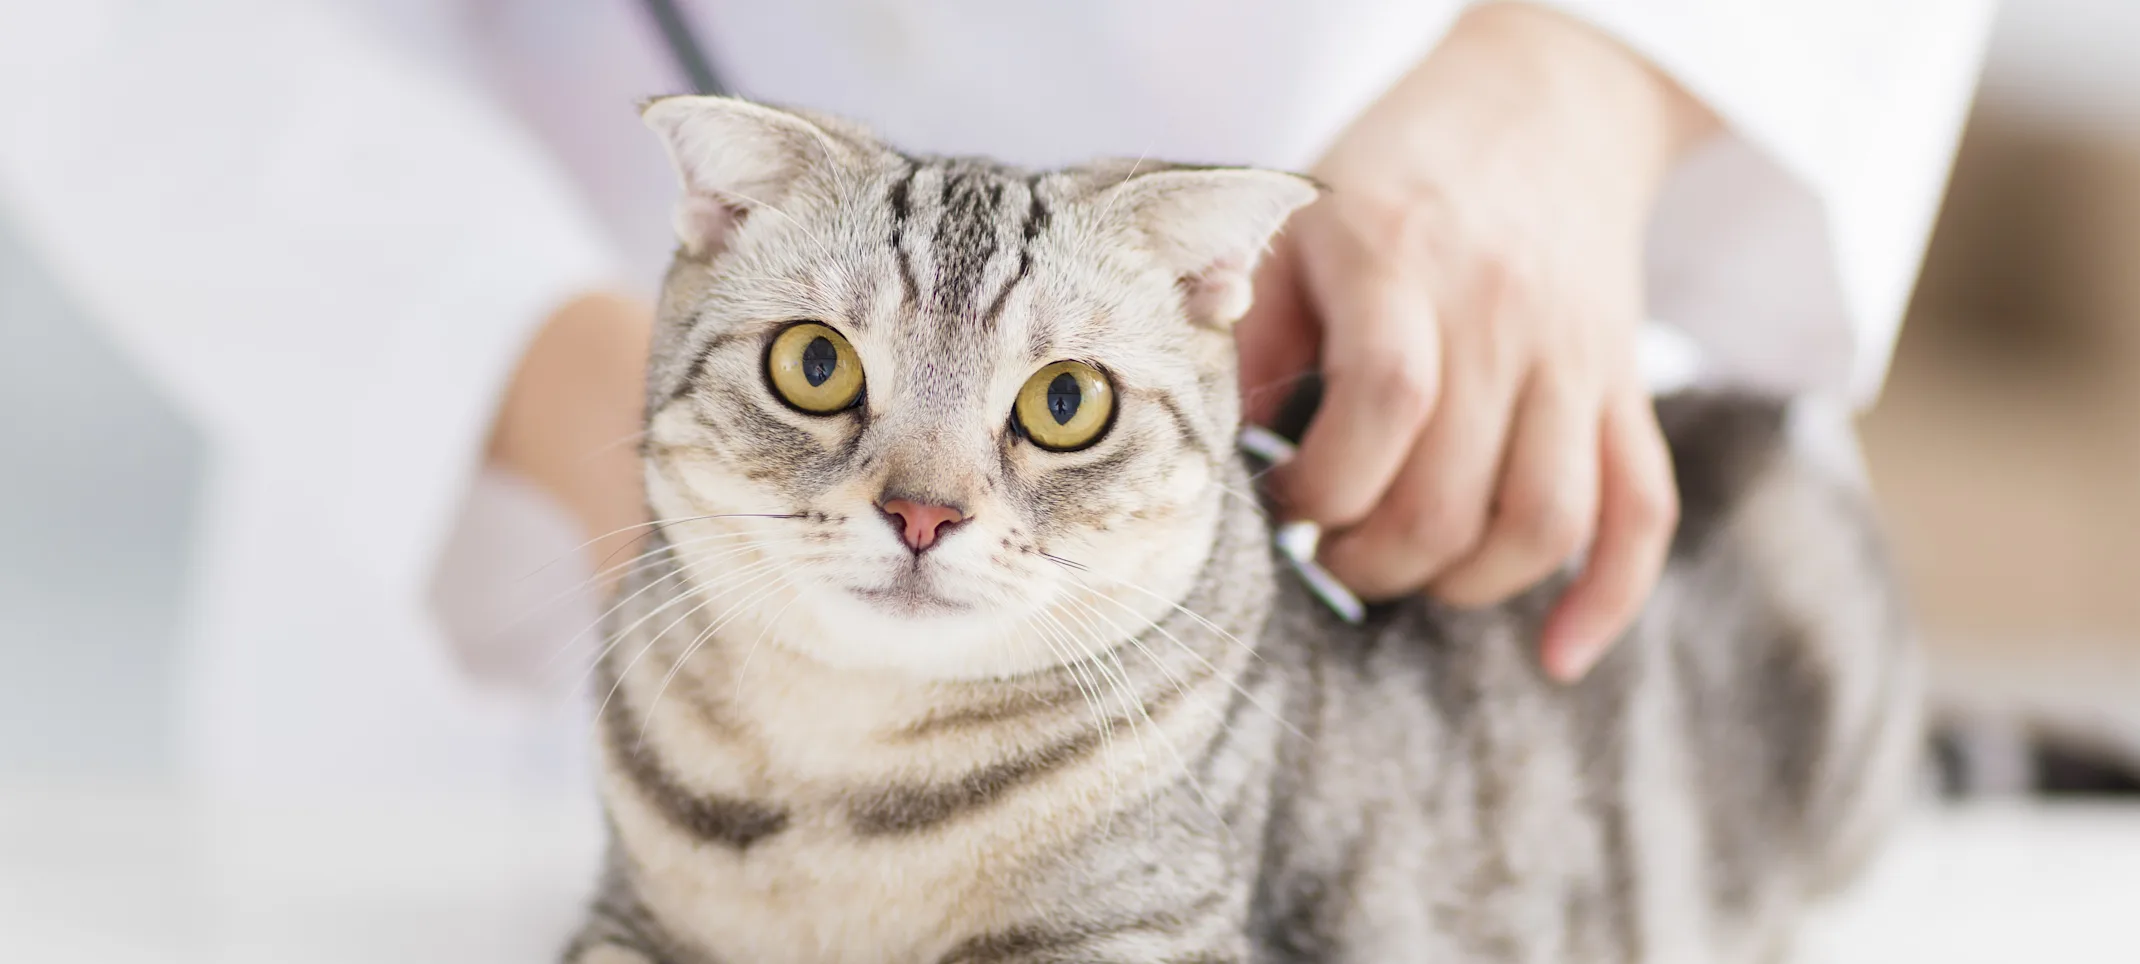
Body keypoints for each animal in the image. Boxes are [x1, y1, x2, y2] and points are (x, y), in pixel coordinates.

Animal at [560, 95, 1917, 964]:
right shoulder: (625, 920)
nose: (922, 512)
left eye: (1065, 402)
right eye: (815, 364)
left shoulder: (1131, 937)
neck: (834, 796)